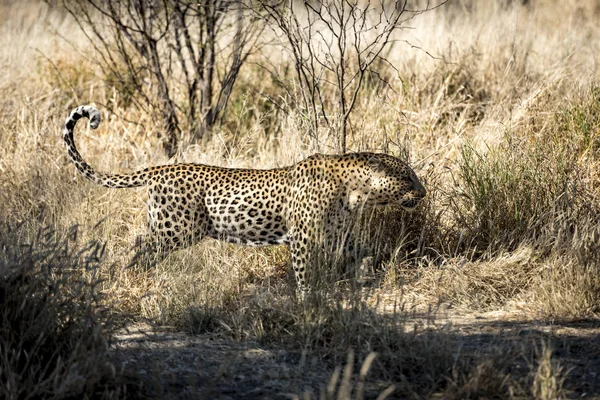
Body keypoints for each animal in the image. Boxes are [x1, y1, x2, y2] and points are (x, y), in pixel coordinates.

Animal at [63, 105, 426, 294]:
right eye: (408, 177)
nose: (423, 194)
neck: (355, 191)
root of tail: (159, 168)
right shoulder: (303, 238)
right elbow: (304, 273)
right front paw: (308, 302)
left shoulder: (338, 233)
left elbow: (363, 250)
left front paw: (370, 274)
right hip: (176, 230)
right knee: (138, 245)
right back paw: (128, 275)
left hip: (170, 229)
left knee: (143, 246)